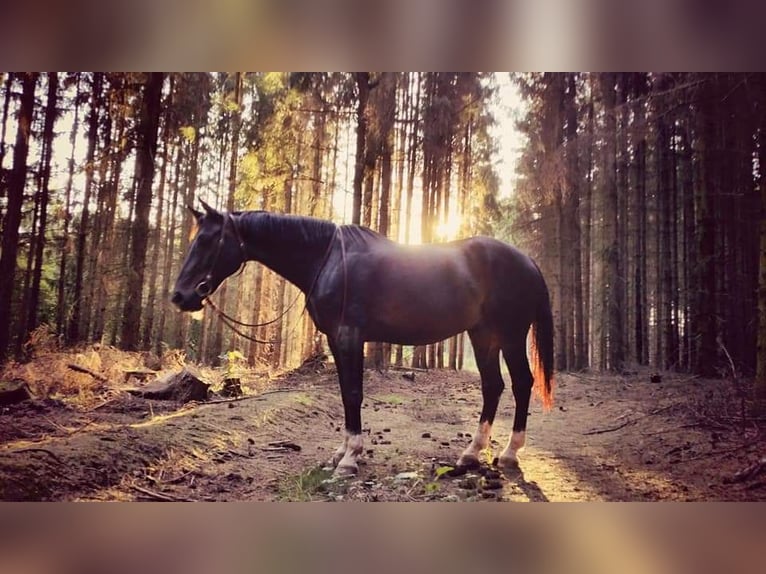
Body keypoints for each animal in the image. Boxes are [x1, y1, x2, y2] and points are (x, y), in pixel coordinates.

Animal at [172, 202, 556, 476]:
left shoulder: (349, 337)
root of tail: (528, 261)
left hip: (510, 335)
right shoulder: (335, 340)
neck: (327, 258)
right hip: (483, 335)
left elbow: (354, 393)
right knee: (493, 386)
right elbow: (345, 393)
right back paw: (470, 455)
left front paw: (350, 459)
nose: (180, 296)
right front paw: (342, 452)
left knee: (521, 383)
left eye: (206, 240)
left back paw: (509, 453)